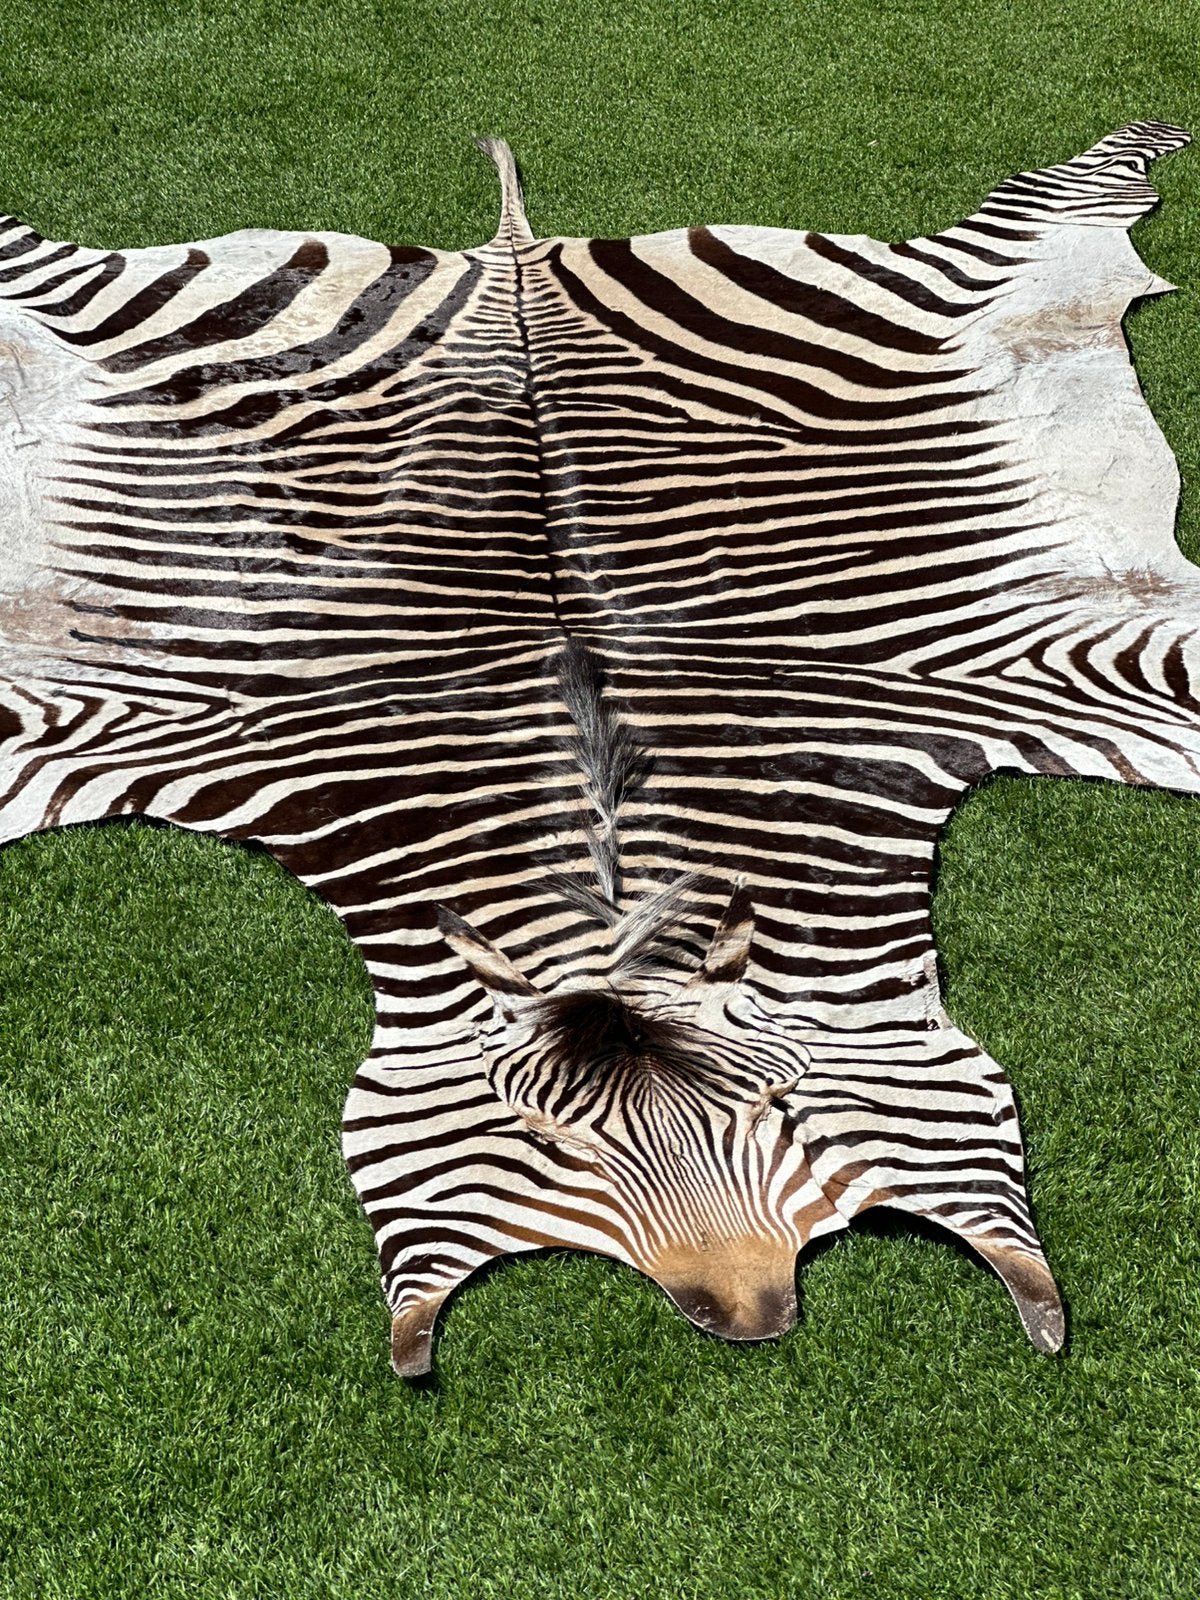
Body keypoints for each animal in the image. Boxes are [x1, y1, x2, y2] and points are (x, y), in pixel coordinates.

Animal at [0, 119, 1191, 1375]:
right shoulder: (115, 721)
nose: (755, 1319)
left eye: (779, 1111)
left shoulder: (1032, 677)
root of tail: (515, 264)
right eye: (559, 1156)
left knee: (1032, 225)